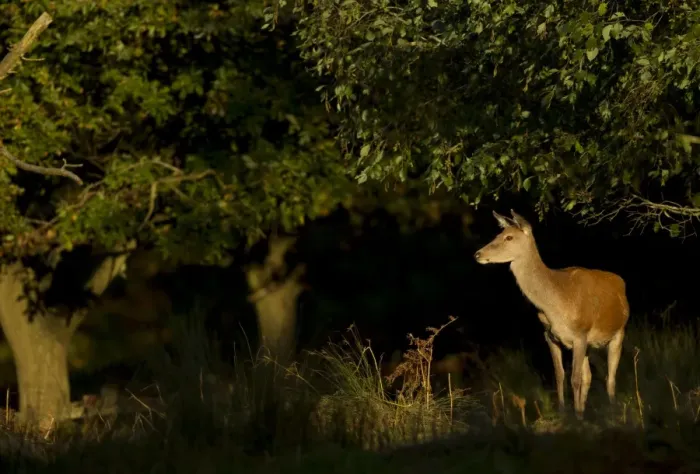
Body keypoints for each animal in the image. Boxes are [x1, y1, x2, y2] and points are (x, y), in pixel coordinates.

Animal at [473, 210, 630, 419]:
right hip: (589, 345)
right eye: (498, 235)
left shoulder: (580, 333)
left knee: (610, 377)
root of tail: (620, 283)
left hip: (619, 332)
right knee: (589, 375)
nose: (478, 254)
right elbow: (560, 375)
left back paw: (612, 412)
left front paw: (577, 417)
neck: (555, 305)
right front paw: (565, 413)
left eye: (509, 237)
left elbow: (575, 378)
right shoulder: (550, 335)